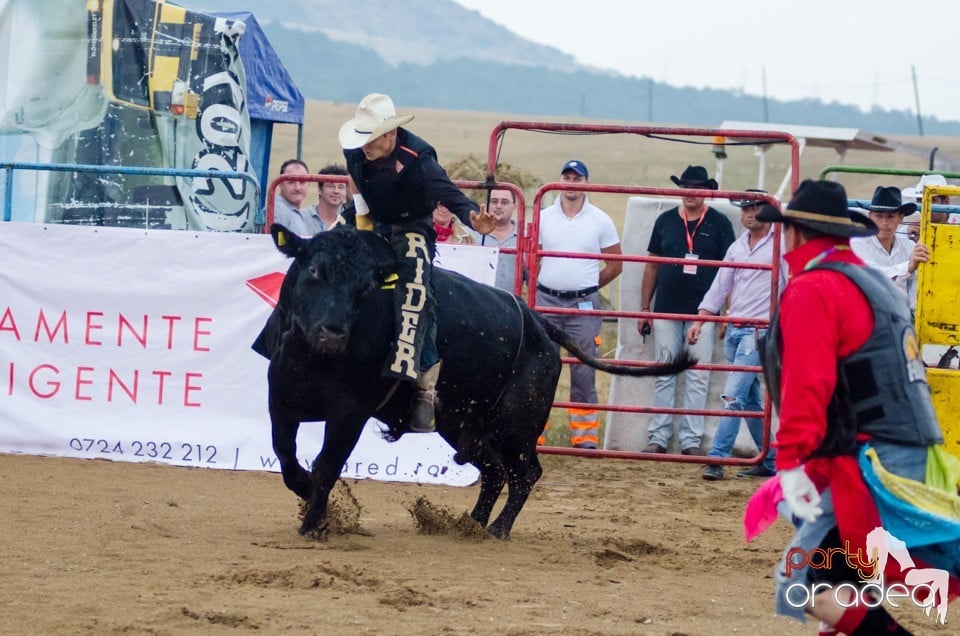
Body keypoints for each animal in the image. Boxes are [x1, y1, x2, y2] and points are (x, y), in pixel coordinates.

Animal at [251, 226, 692, 540]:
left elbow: (327, 464)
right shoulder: (280, 402)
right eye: (314, 271)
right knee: (495, 471)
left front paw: (314, 522)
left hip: (517, 424)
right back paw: (471, 523)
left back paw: (496, 528)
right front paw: (306, 492)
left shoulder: (350, 413)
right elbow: (286, 456)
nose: (333, 332)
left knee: (524, 473)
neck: (312, 357)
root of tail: (538, 323)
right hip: (463, 425)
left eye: (365, 288)